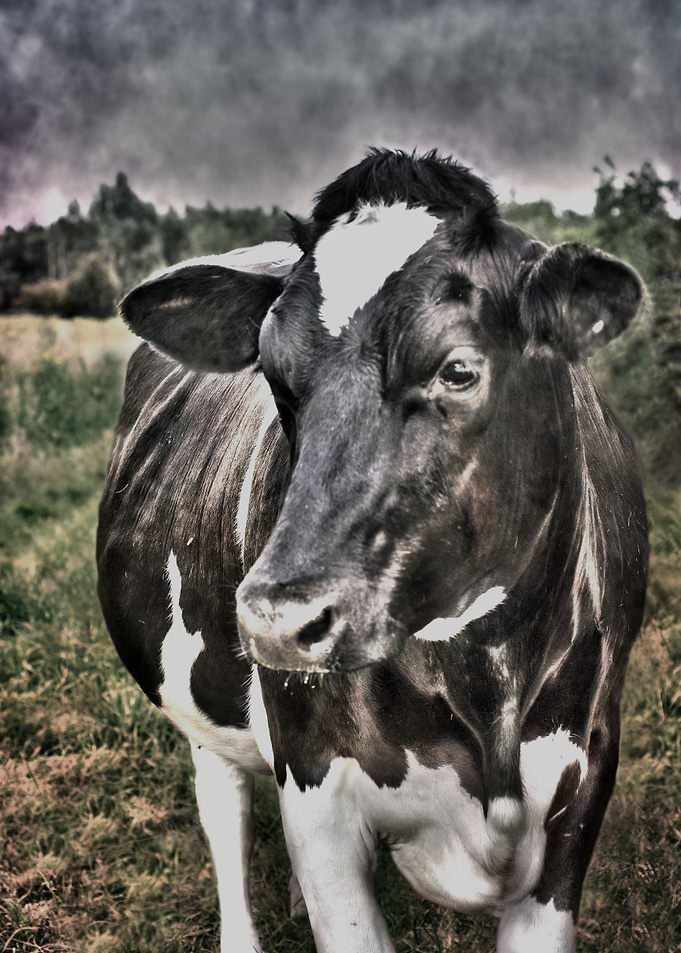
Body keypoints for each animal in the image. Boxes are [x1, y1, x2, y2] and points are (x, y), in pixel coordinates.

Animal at [97, 149, 648, 953]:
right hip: (198, 698)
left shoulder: (583, 777)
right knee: (224, 813)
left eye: (457, 368)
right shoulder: (316, 782)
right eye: (272, 373)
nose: (275, 620)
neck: (485, 686)